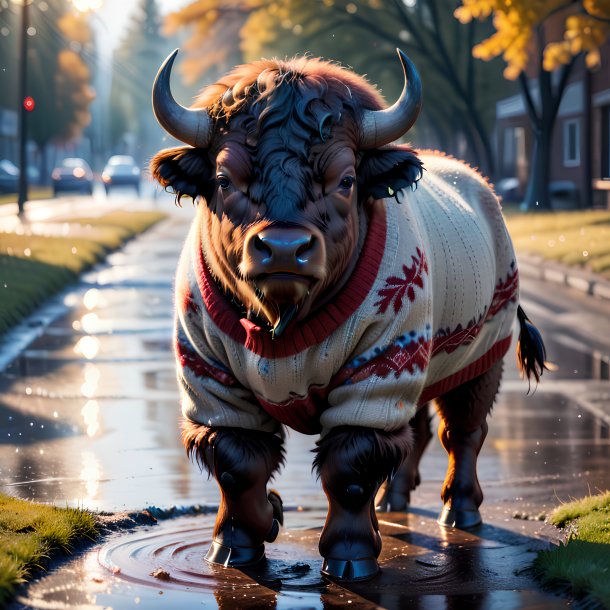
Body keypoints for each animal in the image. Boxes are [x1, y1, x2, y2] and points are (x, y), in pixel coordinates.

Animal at [150, 47, 544, 580]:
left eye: (346, 180)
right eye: (224, 179)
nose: (283, 249)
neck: (285, 321)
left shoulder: (378, 374)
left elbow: (351, 465)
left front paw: (350, 554)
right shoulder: (213, 381)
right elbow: (238, 465)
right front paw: (244, 538)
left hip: (481, 359)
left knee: (462, 432)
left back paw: (459, 508)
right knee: (418, 432)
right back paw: (393, 499)